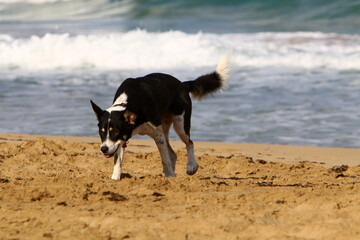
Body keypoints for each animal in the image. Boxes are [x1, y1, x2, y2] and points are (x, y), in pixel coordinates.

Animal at [91, 53, 229, 179]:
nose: (103, 149)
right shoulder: (122, 140)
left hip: (180, 124)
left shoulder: (157, 135)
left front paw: (170, 176)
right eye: (101, 132)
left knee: (189, 143)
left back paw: (190, 166)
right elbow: (117, 161)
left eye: (115, 132)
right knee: (173, 153)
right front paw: (115, 178)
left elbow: (165, 159)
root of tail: (182, 84)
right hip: (165, 127)